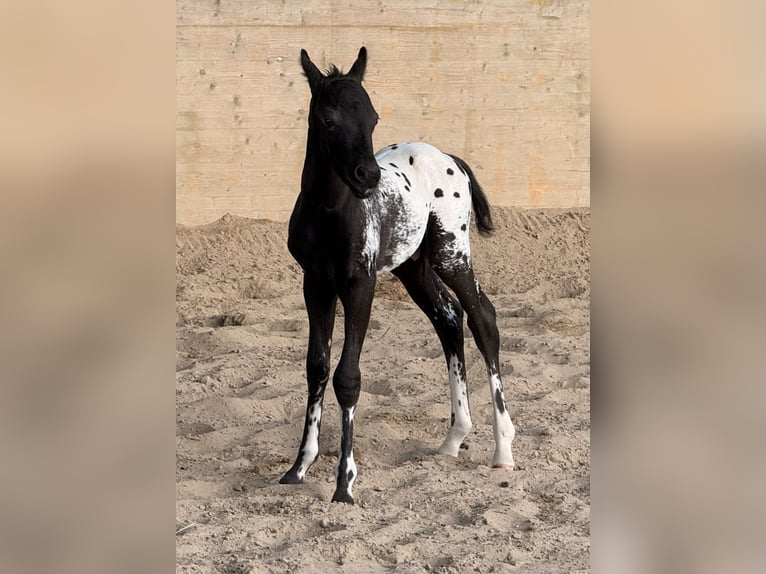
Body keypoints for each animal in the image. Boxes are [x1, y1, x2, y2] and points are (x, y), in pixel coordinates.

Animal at [279, 47, 516, 504]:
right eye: (328, 119)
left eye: (373, 118)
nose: (368, 177)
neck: (331, 213)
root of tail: (450, 158)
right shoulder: (315, 283)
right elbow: (317, 367)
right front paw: (299, 467)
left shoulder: (360, 284)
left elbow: (348, 377)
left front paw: (345, 483)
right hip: (414, 266)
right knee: (448, 318)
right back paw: (453, 439)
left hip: (451, 253)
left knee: (483, 319)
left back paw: (503, 449)